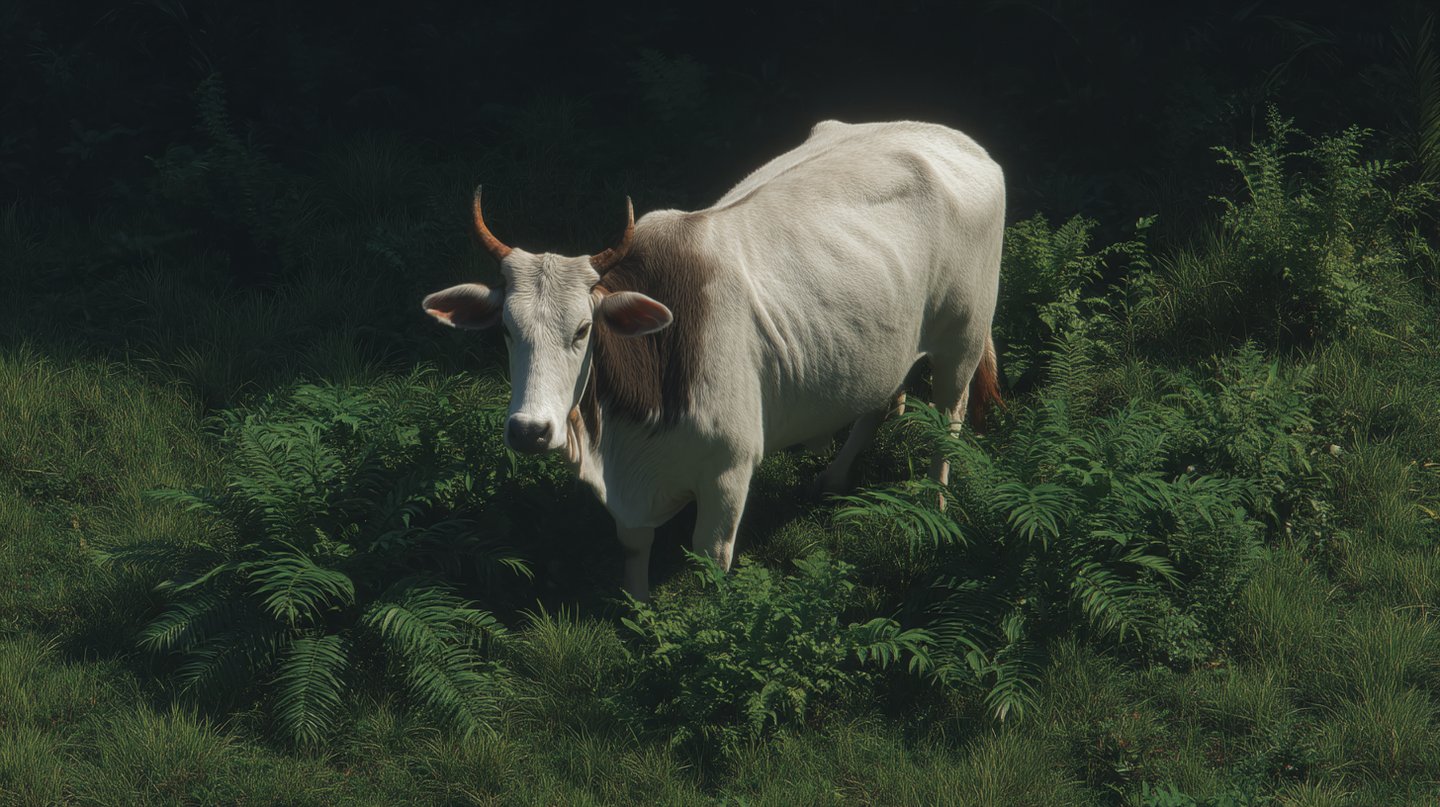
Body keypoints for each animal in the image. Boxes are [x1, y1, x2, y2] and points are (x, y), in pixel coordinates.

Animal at [422, 120, 1003, 600]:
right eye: (505, 330)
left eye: (584, 330)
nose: (530, 431)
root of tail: (960, 142)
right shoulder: (633, 502)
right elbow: (634, 552)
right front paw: (638, 614)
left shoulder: (729, 472)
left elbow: (711, 569)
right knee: (879, 402)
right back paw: (835, 478)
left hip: (964, 339)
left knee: (948, 423)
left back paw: (936, 506)